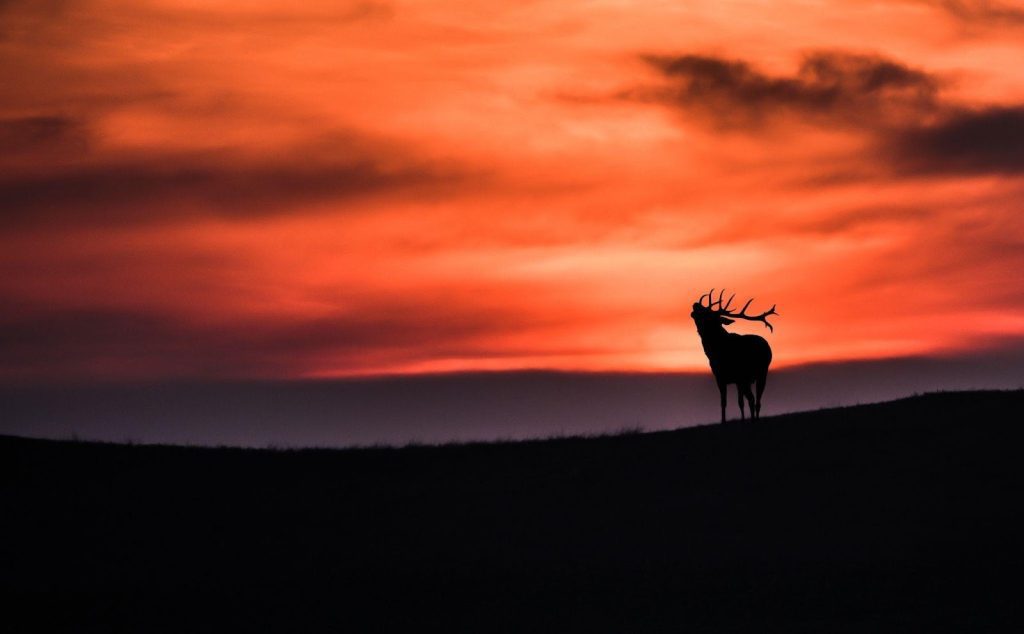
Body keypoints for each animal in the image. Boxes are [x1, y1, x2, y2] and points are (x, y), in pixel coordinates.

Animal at [691, 289, 777, 423]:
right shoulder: (727, 379)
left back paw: (754, 420)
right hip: (753, 377)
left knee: (754, 400)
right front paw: (732, 420)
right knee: (754, 400)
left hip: (758, 373)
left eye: (707, 313)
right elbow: (732, 402)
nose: (695, 304)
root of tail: (767, 347)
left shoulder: (731, 377)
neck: (714, 352)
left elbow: (733, 402)